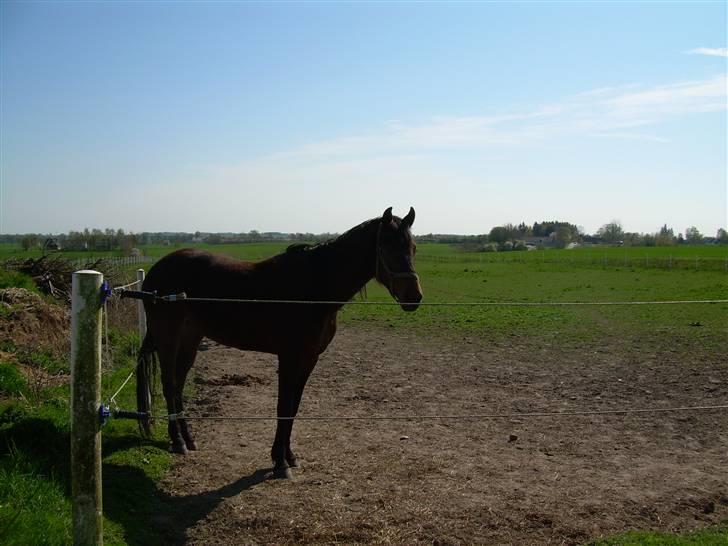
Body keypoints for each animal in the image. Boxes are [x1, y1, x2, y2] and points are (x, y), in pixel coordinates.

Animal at [135, 205, 420, 476]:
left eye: (413, 248)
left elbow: (293, 406)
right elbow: (283, 406)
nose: (414, 297)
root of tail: (156, 272)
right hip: (169, 339)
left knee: (179, 385)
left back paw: (189, 439)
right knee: (170, 384)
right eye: (386, 247)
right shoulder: (289, 356)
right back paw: (177, 442)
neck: (313, 289)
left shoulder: (309, 358)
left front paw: (288, 457)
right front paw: (280, 462)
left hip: (191, 339)